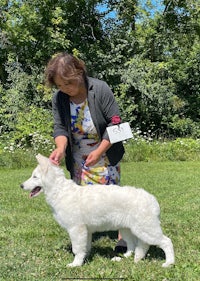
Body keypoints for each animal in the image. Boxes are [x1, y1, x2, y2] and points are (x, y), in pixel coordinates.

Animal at [19, 154, 175, 266]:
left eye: (34, 177)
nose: (21, 186)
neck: (60, 191)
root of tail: (152, 199)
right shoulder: (85, 231)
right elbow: (85, 247)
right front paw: (84, 258)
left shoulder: (76, 229)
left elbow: (77, 249)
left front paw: (75, 264)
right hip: (129, 229)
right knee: (136, 244)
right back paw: (129, 257)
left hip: (146, 229)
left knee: (166, 242)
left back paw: (169, 263)